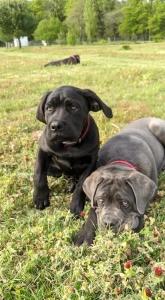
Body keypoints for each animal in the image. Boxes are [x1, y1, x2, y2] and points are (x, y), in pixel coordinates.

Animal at [32, 85, 113, 214]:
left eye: (73, 107)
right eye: (49, 108)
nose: (55, 126)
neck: (69, 144)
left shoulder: (91, 162)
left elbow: (82, 183)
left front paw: (76, 204)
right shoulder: (43, 149)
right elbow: (39, 173)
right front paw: (40, 197)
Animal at [74, 116, 165, 245]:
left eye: (125, 203)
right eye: (100, 200)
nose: (108, 223)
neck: (121, 161)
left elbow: (140, 210)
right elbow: (93, 212)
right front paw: (84, 236)